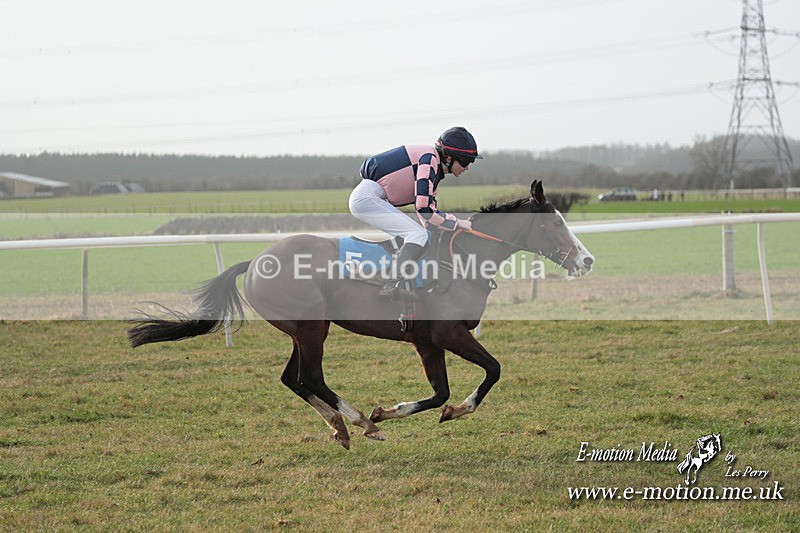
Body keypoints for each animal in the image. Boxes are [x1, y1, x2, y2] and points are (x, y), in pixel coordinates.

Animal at [128, 180, 594, 449]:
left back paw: (341, 425)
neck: (462, 258)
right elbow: (492, 370)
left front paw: (400, 411)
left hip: (302, 331)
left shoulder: (427, 341)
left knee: (293, 379)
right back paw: (358, 423)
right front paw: (448, 412)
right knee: (309, 377)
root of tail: (255, 261)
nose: (586, 260)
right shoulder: (449, 334)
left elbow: (439, 392)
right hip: (312, 327)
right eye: (555, 224)